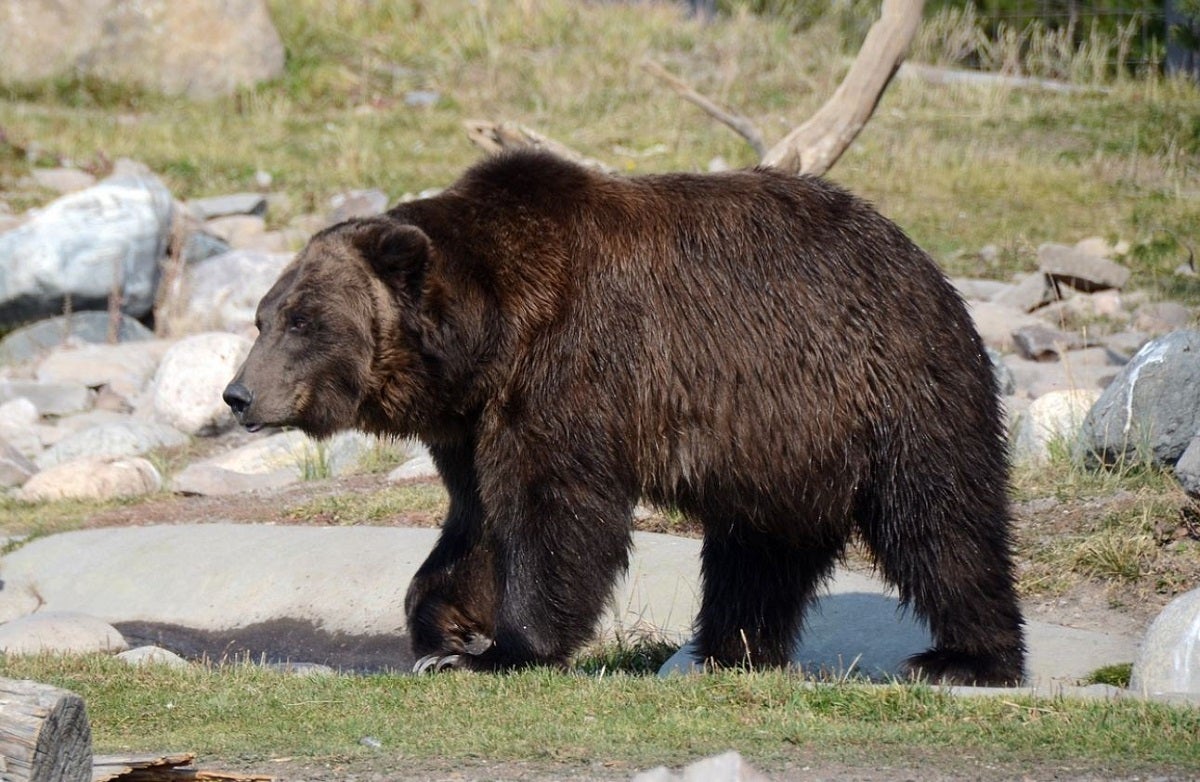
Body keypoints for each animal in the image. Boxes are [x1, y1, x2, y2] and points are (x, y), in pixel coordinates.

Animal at [226, 151, 1032, 686]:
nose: (238, 395)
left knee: (940, 519)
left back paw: (965, 657)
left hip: (889, 383)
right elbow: (477, 521)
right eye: (263, 316)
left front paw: (510, 647)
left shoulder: (572, 367)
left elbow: (556, 513)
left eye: (302, 321)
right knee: (760, 549)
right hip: (781, 443)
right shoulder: (476, 420)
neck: (489, 335)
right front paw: (446, 628)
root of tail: (921, 259)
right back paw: (729, 649)